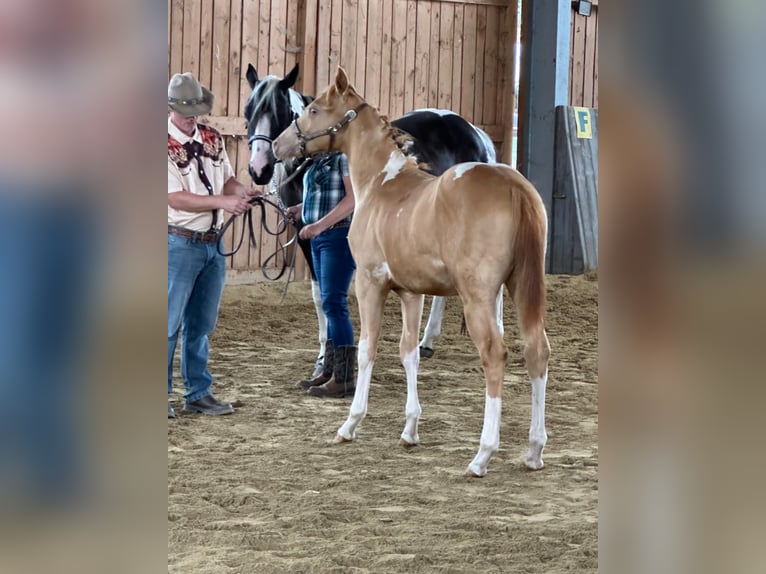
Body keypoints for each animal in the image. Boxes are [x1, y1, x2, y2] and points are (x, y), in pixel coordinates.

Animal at [244, 64, 498, 367]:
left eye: (281, 111)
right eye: (248, 111)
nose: (259, 168)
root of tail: (475, 133)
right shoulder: (304, 232)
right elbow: (319, 296)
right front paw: (323, 354)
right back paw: (426, 342)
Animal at [273, 67, 550, 477]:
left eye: (314, 110)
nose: (278, 146)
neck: (381, 184)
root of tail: (514, 186)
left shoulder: (370, 284)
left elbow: (366, 349)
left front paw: (350, 424)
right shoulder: (410, 292)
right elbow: (408, 353)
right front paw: (410, 430)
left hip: (478, 297)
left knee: (494, 355)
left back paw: (482, 455)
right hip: (520, 287)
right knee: (537, 351)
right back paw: (533, 450)